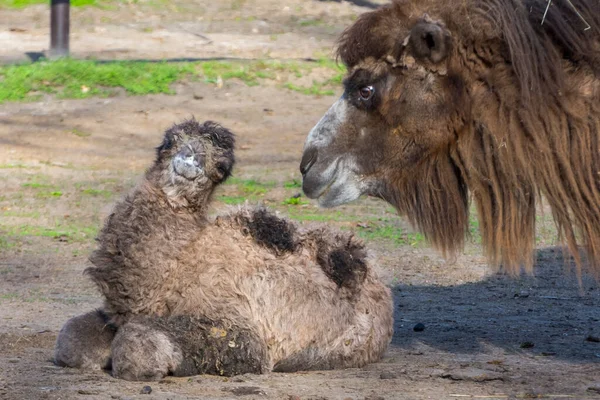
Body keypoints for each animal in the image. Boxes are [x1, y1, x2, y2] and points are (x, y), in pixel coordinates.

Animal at [55, 119, 394, 382]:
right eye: (169, 141)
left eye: (222, 166)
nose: (189, 158)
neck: (180, 263)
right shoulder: (122, 313)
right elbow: (70, 339)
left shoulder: (242, 331)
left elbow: (137, 345)